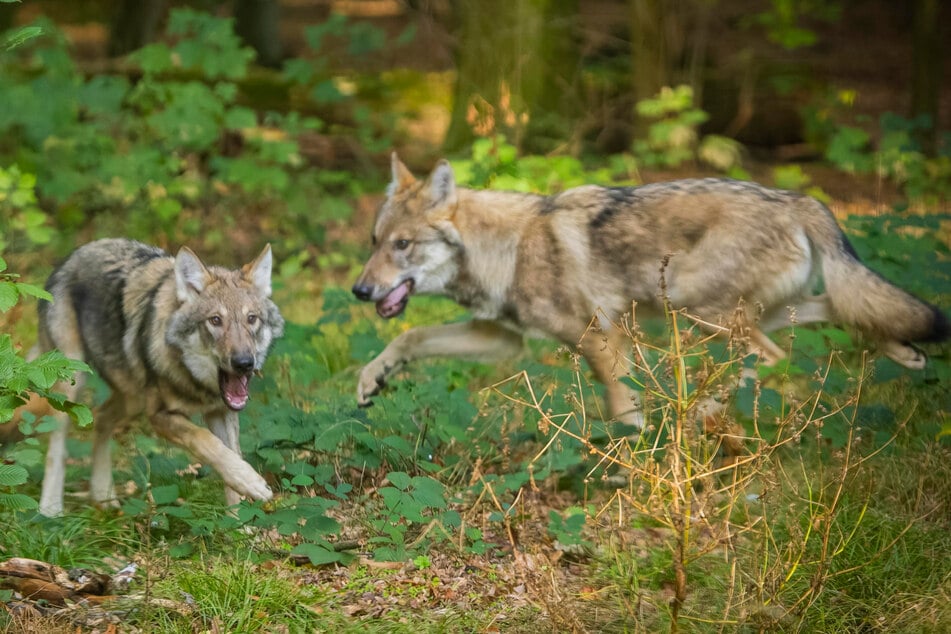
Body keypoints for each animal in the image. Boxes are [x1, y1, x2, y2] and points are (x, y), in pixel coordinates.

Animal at [33, 238, 285, 516]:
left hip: (131, 399)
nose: (244, 363)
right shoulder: (159, 416)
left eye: (252, 319)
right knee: (57, 446)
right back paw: (50, 509)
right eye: (215, 320)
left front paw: (238, 522)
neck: (195, 382)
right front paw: (251, 482)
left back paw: (103, 496)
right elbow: (205, 441)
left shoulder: (221, 411)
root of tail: (74, 254)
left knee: (100, 417)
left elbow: (231, 456)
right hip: (72, 385)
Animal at [352, 154, 949, 427]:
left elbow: (622, 408)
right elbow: (410, 339)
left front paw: (629, 463)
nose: (359, 290)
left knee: (777, 361)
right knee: (839, 311)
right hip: (745, 312)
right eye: (374, 241)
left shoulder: (599, 340)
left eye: (403, 245)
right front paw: (371, 379)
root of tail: (795, 198)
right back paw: (905, 352)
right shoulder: (503, 339)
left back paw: (701, 415)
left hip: (697, 310)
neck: (508, 248)